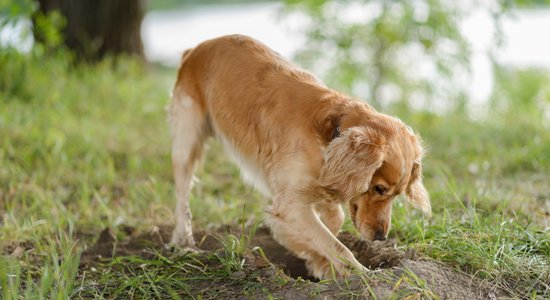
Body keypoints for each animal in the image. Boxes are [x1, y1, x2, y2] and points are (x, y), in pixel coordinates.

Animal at [168, 34, 432, 278]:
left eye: (397, 195)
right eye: (378, 189)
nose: (381, 237)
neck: (330, 135)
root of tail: (197, 48)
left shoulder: (323, 185)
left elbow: (332, 223)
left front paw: (318, 263)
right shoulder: (291, 204)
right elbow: (337, 246)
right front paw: (360, 274)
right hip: (186, 143)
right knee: (182, 199)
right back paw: (184, 242)